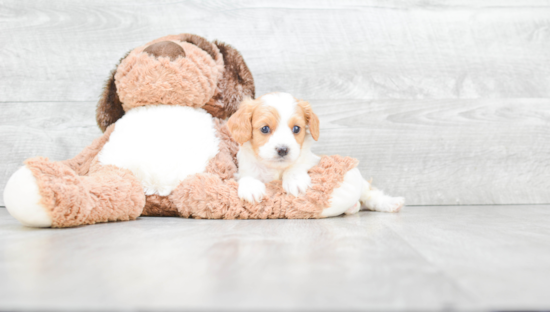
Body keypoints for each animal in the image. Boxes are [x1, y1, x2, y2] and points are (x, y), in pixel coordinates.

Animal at [229, 92, 406, 213]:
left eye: (296, 128)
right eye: (265, 129)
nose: (283, 150)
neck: (276, 169)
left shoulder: (313, 160)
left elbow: (298, 165)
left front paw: (295, 180)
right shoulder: (244, 170)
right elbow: (247, 177)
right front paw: (251, 187)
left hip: (363, 187)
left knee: (370, 194)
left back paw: (391, 203)